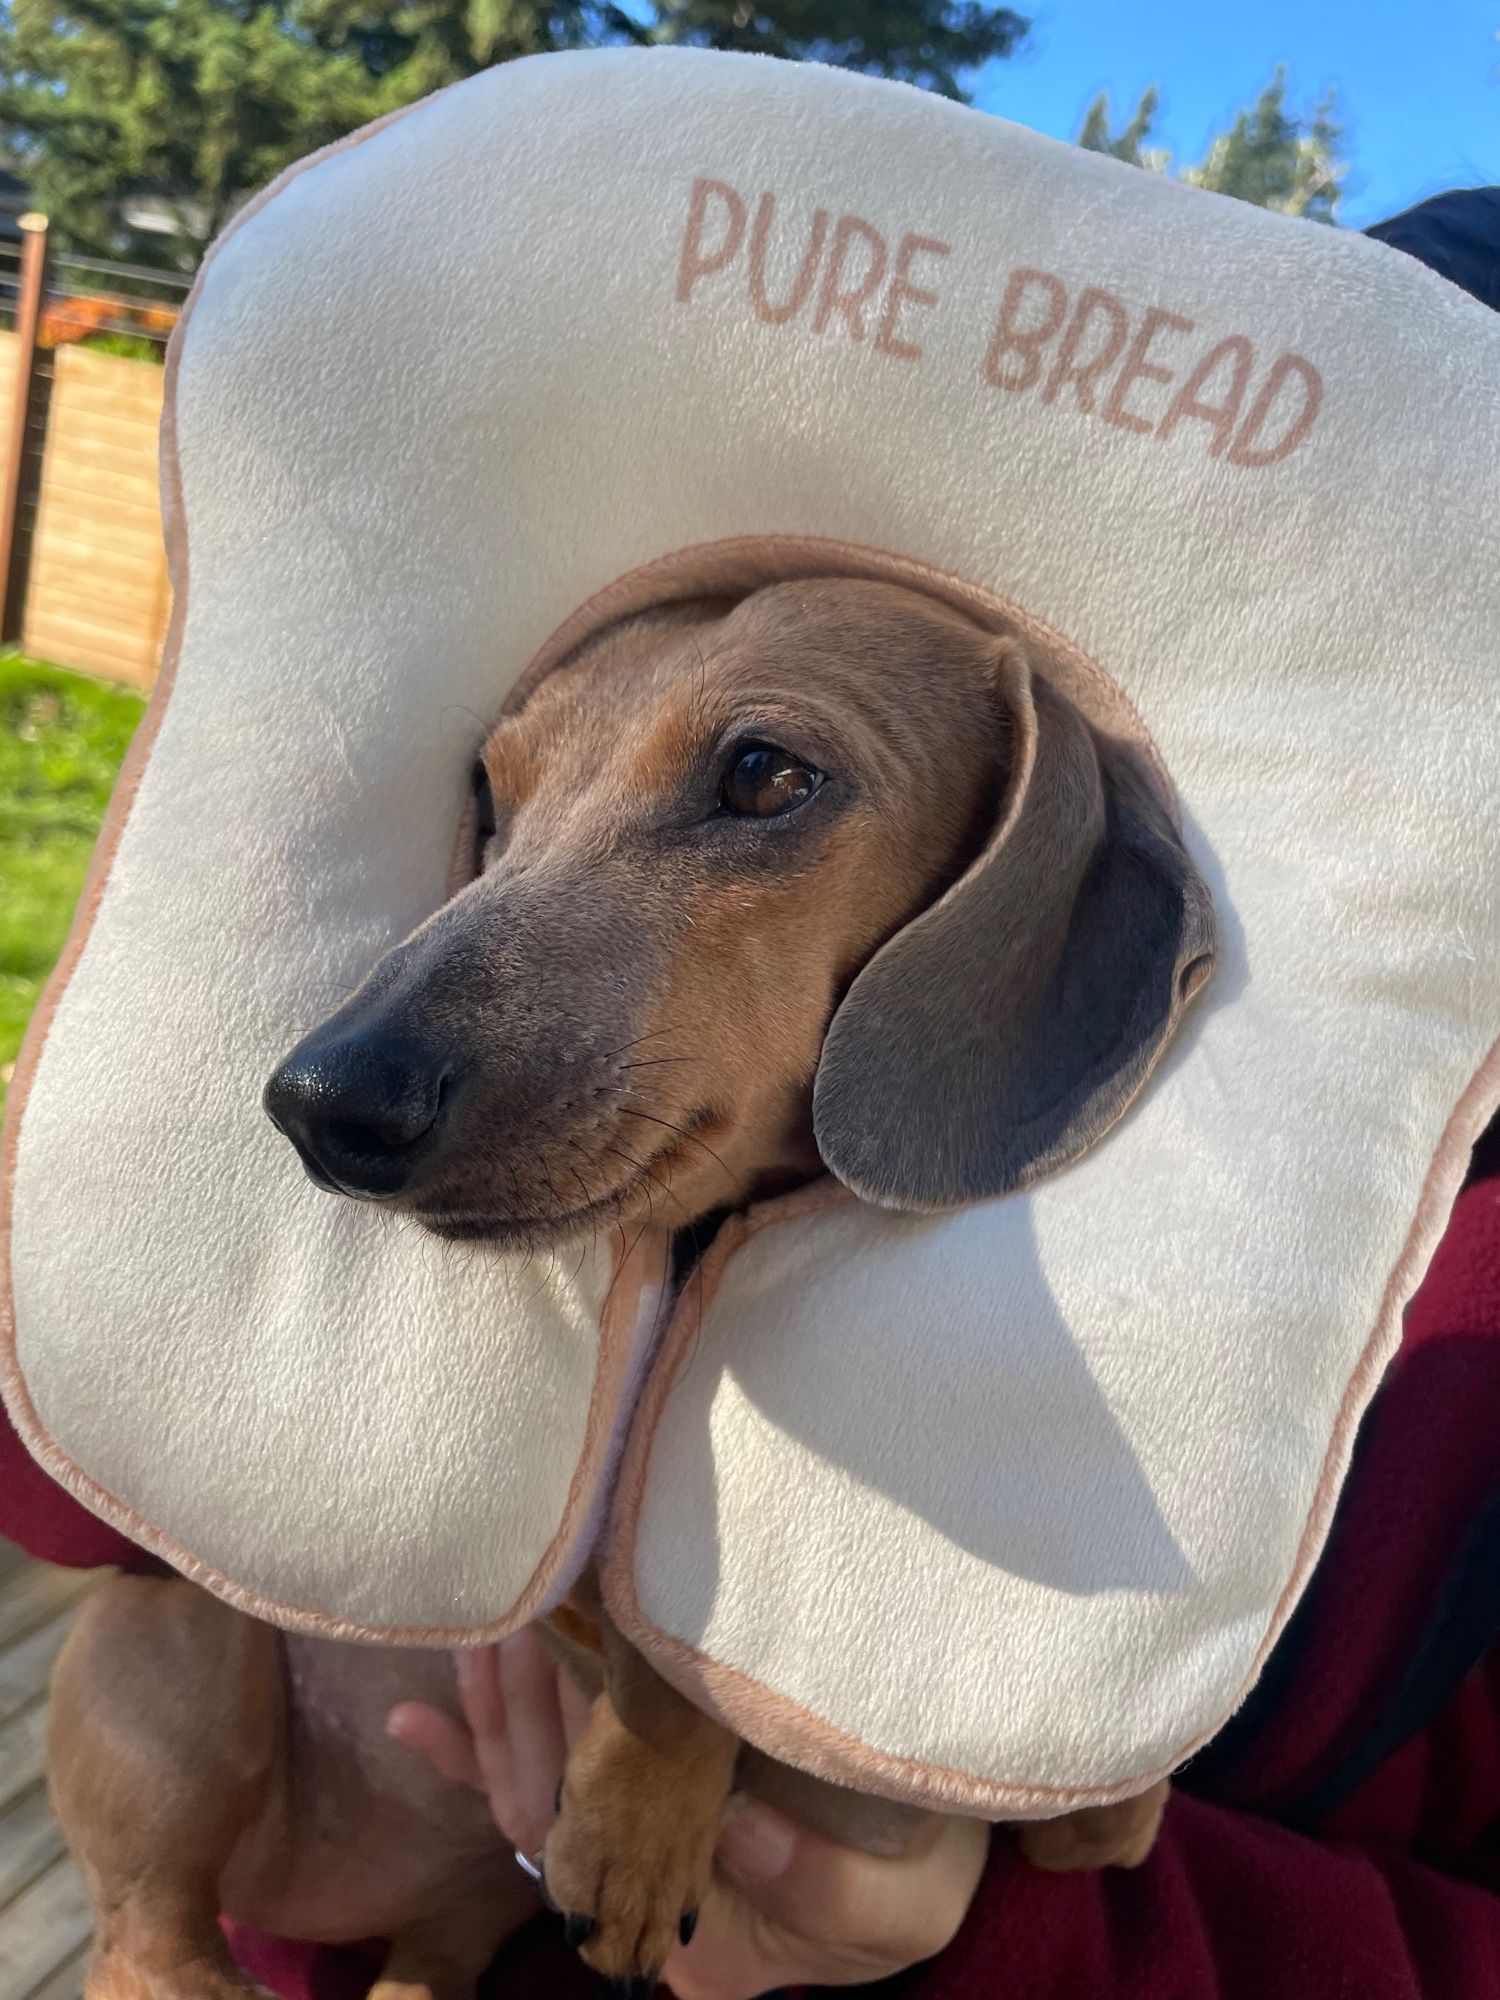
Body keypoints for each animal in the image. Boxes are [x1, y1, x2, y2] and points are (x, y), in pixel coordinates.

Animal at [50, 572, 1224, 1992]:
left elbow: (1100, 1817)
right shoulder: (571, 1599)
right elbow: (650, 1625)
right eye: (491, 792)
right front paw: (641, 1821)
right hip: (174, 1649)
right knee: (149, 1933)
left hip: (445, 1911)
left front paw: (1119, 1790)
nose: (321, 1099)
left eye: (766, 772)